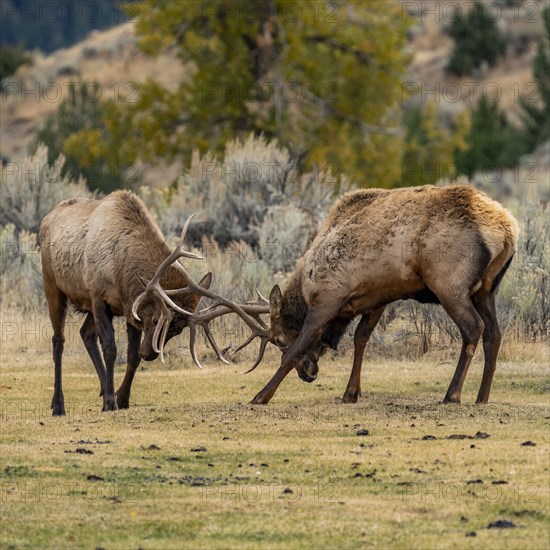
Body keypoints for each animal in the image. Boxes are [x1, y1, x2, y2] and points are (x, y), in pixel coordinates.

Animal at [38, 192, 268, 416]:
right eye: (157, 319)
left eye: (178, 330)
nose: (149, 354)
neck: (121, 274)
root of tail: (45, 219)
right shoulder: (98, 297)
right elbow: (111, 349)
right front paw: (111, 402)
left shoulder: (128, 308)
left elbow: (132, 357)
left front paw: (121, 398)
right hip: (52, 286)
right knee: (58, 340)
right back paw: (58, 405)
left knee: (85, 333)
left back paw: (103, 389)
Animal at [213, 188, 520, 408]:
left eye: (278, 339)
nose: (309, 374)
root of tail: (507, 231)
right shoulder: (377, 299)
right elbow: (361, 338)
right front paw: (351, 393)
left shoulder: (328, 297)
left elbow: (295, 350)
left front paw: (260, 396)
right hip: (486, 290)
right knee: (494, 333)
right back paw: (482, 397)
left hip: (449, 284)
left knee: (473, 328)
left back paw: (452, 394)